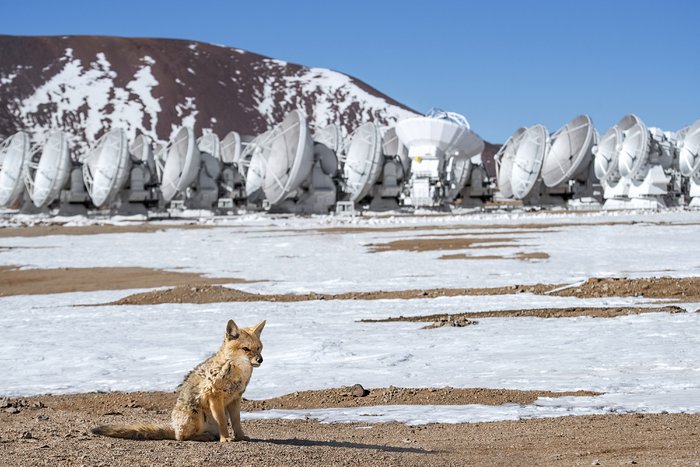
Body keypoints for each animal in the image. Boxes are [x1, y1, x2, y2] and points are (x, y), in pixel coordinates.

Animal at [92, 320, 266, 444]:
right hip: (196, 413)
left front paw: (241, 436)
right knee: (181, 437)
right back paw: (204, 437)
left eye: (259, 348)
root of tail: (174, 427)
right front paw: (226, 438)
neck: (237, 374)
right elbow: (223, 421)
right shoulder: (214, 397)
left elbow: (236, 422)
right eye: (245, 349)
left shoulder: (235, 398)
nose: (260, 360)